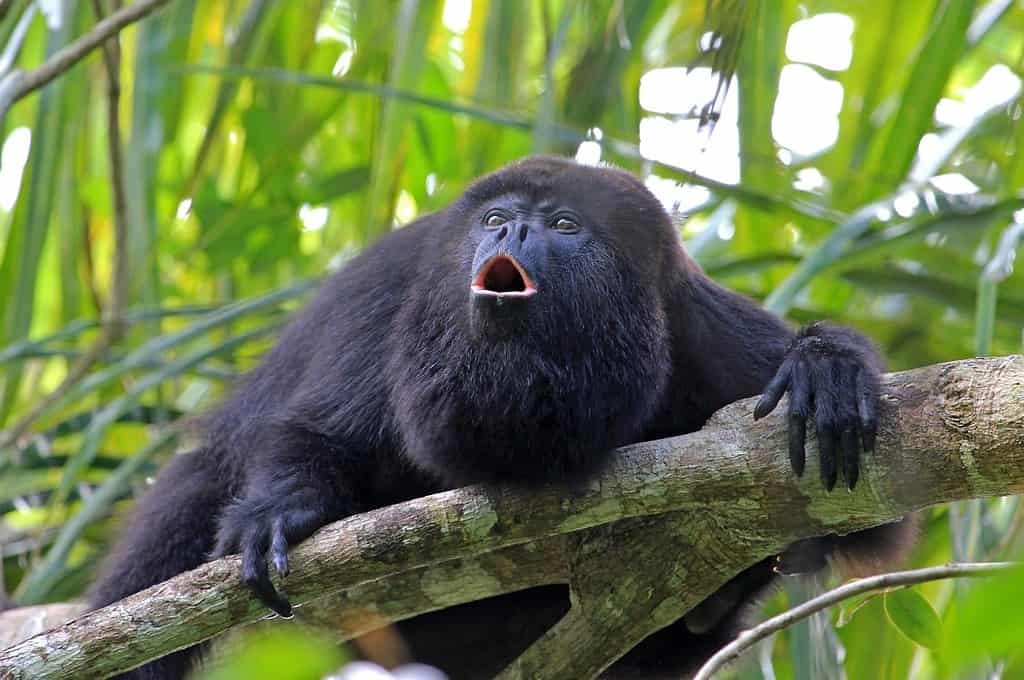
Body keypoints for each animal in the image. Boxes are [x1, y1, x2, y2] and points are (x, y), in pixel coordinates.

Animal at [89, 156, 913, 679]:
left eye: (564, 223)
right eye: (494, 217)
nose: (510, 233)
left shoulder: (697, 326)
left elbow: (869, 521)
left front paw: (824, 368)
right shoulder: (396, 292)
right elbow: (320, 433)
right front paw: (279, 511)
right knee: (189, 499)